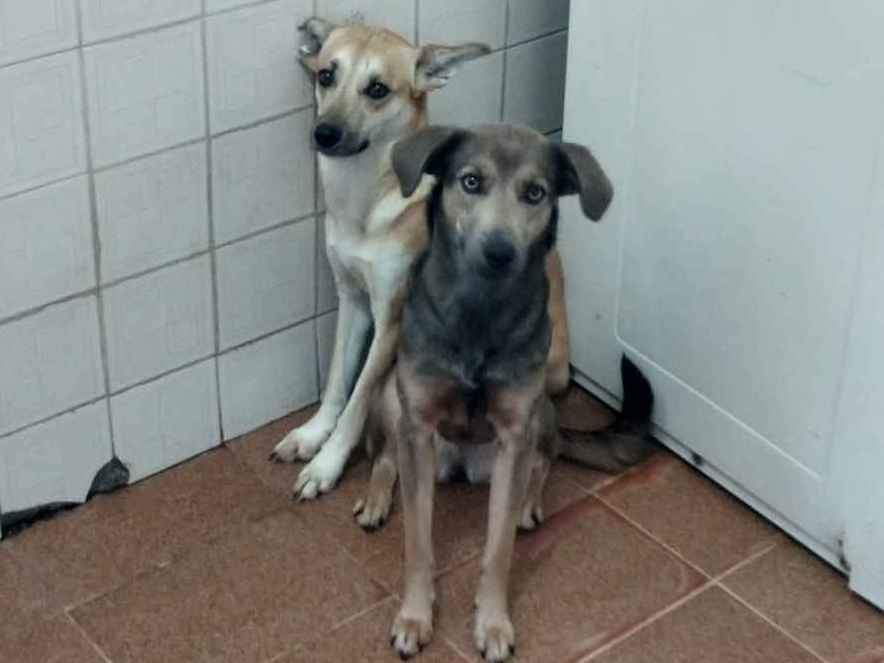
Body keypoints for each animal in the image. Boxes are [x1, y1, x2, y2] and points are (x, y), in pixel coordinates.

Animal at [269, 18, 577, 501]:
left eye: (377, 89)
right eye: (326, 75)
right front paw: (311, 434)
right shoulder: (352, 298)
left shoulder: (392, 320)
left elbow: (358, 399)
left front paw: (328, 464)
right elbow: (337, 381)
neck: (368, 199)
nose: (324, 133)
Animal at [368, 124, 653, 661]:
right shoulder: (417, 422)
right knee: (387, 456)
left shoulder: (516, 429)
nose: (498, 251)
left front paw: (493, 622)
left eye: (535, 193)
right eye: (471, 181)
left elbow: (498, 548)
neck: (479, 311)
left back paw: (527, 505)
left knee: (547, 458)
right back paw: (375, 497)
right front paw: (414, 615)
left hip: (543, 410)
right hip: (394, 400)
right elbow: (418, 541)